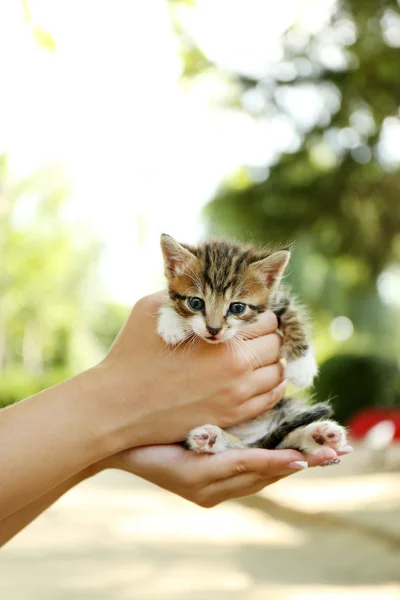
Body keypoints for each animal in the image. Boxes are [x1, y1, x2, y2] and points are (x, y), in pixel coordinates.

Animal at [156, 234, 346, 454]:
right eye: (195, 303)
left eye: (237, 307)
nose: (213, 329)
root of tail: (251, 438)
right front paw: (171, 322)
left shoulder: (278, 298)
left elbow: (293, 316)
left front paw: (301, 367)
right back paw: (210, 438)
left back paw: (321, 435)